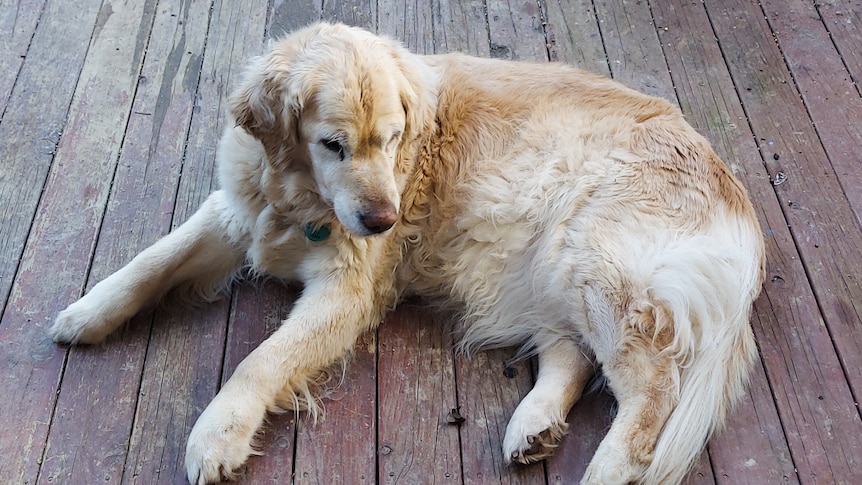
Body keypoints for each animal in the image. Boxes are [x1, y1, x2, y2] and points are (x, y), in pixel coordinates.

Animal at [50, 21, 768, 480]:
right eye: (332, 144)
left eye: (393, 139)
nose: (381, 219)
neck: (300, 199)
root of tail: (735, 196)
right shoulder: (235, 210)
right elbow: (152, 260)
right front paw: (87, 311)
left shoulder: (345, 292)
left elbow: (261, 360)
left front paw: (218, 434)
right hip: (544, 266)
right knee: (572, 354)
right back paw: (532, 427)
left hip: (590, 257)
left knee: (650, 390)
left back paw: (606, 469)